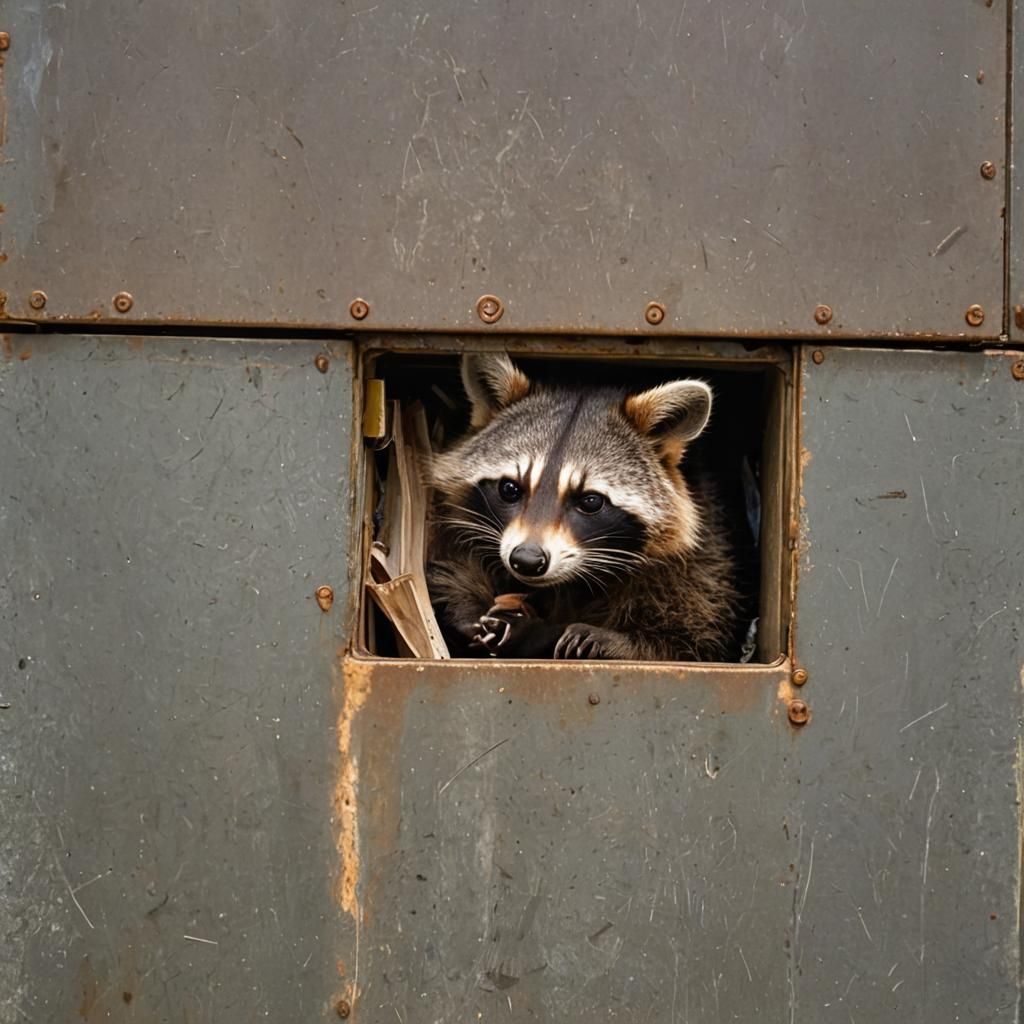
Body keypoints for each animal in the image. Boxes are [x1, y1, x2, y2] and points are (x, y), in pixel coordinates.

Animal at [427, 353, 746, 662]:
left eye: (590, 501)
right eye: (509, 489)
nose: (527, 560)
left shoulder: (703, 564)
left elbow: (685, 644)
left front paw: (557, 633)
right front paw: (467, 604)